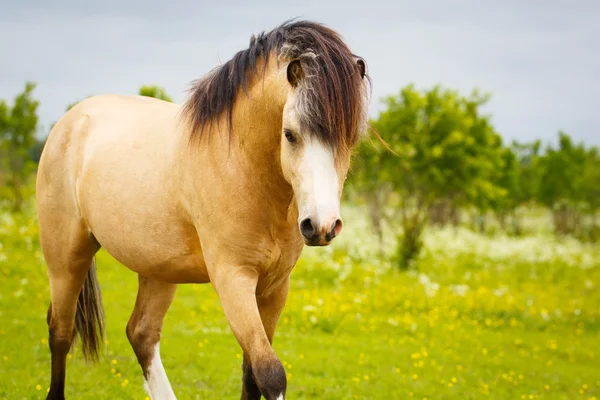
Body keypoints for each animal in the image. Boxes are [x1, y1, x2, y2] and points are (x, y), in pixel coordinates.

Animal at [36, 19, 370, 400]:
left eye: (350, 139)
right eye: (290, 134)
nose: (322, 226)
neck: (241, 166)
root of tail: (71, 120)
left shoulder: (274, 287)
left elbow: (252, 374)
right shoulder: (233, 279)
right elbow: (271, 374)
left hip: (157, 270)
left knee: (141, 334)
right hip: (66, 258)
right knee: (61, 332)